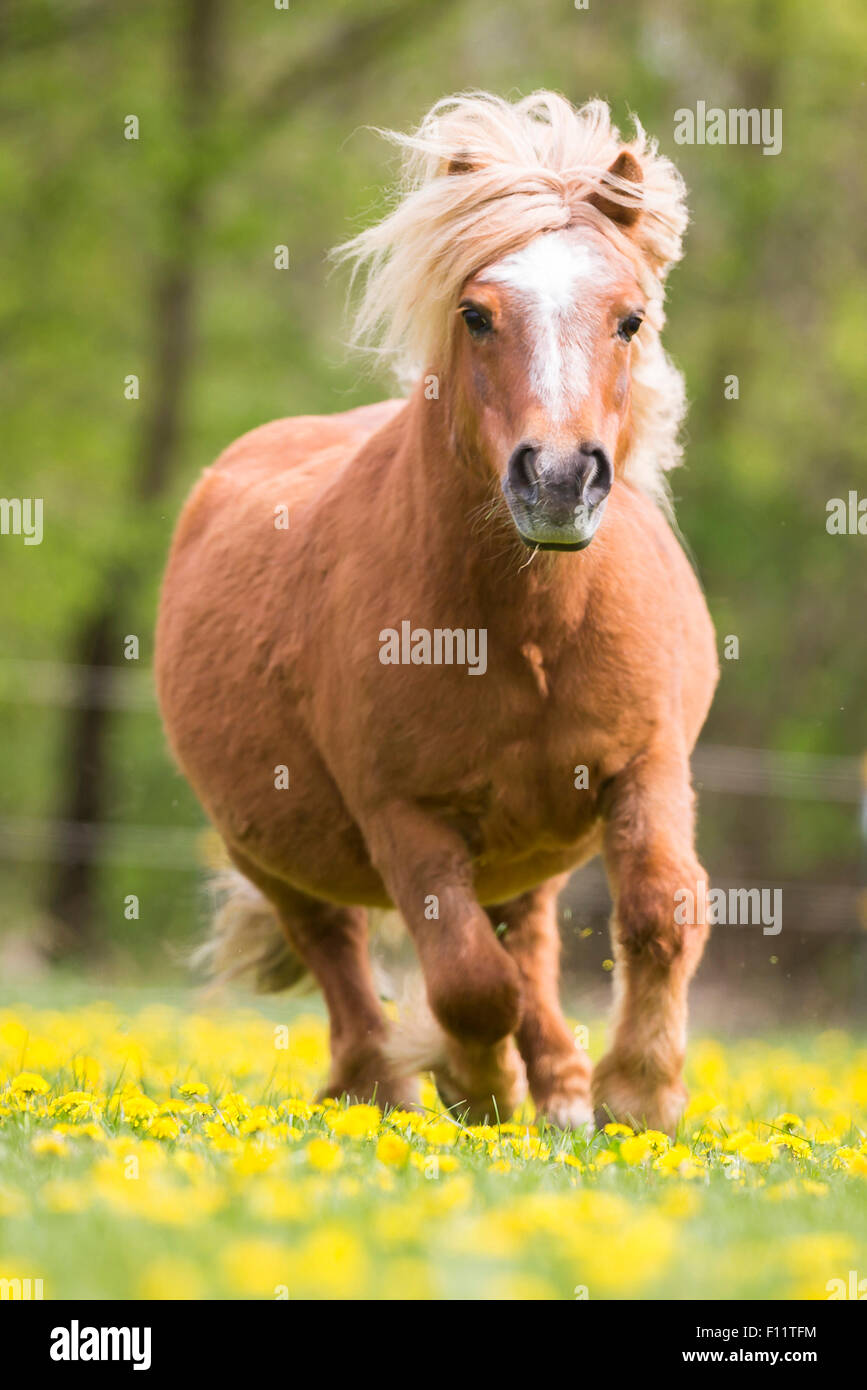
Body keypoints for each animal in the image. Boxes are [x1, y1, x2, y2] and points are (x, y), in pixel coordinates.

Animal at [155, 92, 716, 1134]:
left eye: (629, 318)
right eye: (476, 314)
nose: (558, 478)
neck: (527, 631)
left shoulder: (646, 765)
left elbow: (659, 912)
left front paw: (636, 1097)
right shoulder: (403, 818)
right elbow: (466, 982)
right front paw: (474, 1084)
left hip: (531, 840)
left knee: (527, 941)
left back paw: (562, 1089)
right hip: (276, 855)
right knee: (337, 946)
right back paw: (380, 1083)